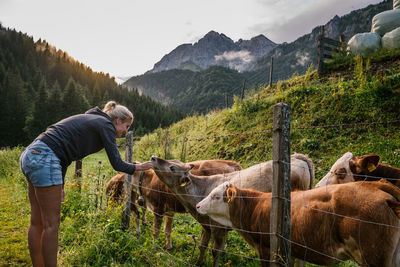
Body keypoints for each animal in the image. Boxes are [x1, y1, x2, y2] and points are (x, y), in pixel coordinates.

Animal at [151, 154, 316, 266]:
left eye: (172, 167)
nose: (153, 157)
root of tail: (297, 156)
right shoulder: (207, 225)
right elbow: (202, 246)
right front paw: (198, 263)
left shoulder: (218, 227)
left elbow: (215, 251)